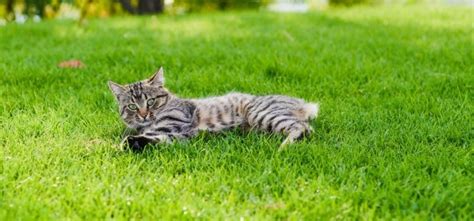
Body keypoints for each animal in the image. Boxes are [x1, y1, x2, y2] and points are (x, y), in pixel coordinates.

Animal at [109, 67, 320, 150]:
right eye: (132, 106)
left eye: (151, 101)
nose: (144, 115)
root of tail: (302, 103)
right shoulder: (179, 136)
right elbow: (152, 138)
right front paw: (133, 142)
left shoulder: (171, 124)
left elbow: (148, 135)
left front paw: (115, 146)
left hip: (260, 114)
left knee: (303, 128)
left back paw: (284, 147)